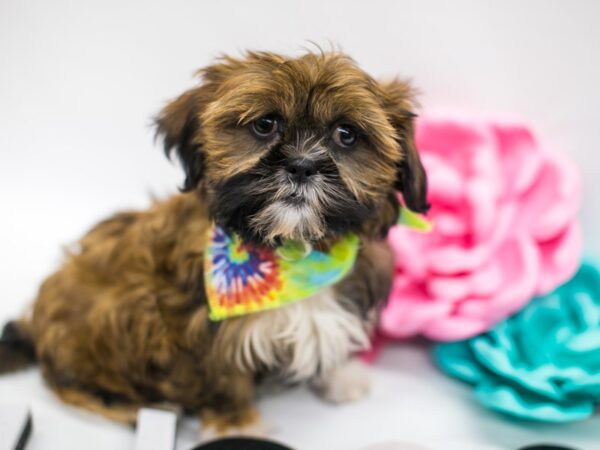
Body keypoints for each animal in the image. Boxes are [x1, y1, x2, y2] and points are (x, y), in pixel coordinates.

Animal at [0, 50, 426, 436]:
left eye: (346, 135)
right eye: (265, 125)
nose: (302, 165)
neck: (289, 250)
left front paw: (341, 376)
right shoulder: (196, 330)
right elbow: (222, 378)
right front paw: (235, 427)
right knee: (72, 388)